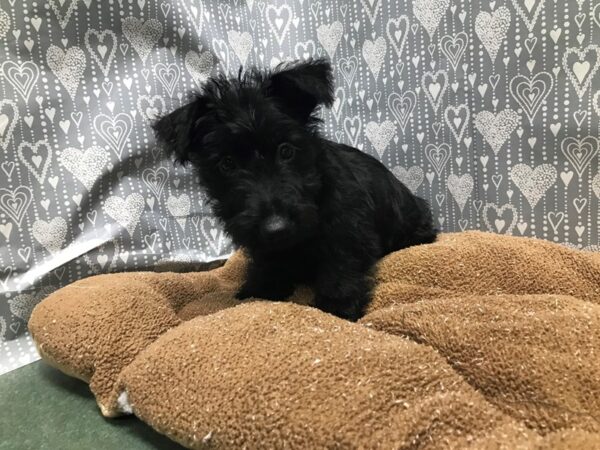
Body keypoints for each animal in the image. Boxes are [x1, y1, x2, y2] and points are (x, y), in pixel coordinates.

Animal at [152, 59, 436, 320]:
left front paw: (338, 304)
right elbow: (267, 263)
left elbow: (341, 262)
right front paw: (259, 288)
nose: (276, 228)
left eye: (286, 150)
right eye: (227, 163)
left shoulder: (348, 230)